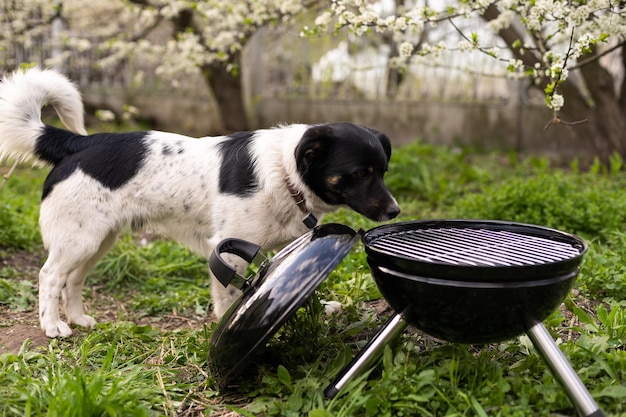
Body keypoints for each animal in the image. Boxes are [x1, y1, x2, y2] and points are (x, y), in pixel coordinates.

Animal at [0, 66, 400, 336]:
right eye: (359, 173)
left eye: (382, 170)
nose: (395, 210)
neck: (285, 172)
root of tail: (78, 142)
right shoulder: (229, 249)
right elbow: (231, 296)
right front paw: (226, 323)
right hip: (79, 239)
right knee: (50, 275)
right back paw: (53, 325)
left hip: (98, 240)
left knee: (73, 279)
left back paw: (79, 318)